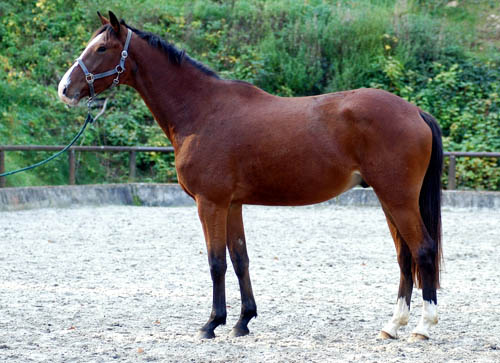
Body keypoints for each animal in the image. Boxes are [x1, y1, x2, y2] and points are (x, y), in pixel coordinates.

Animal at [56, 11, 444, 342]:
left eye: (101, 48)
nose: (64, 89)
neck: (202, 111)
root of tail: (415, 112)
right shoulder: (232, 204)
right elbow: (240, 259)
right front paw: (243, 321)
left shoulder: (210, 203)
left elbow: (216, 262)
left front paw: (211, 324)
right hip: (388, 199)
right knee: (405, 256)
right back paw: (393, 325)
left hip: (398, 198)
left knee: (422, 250)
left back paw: (423, 327)